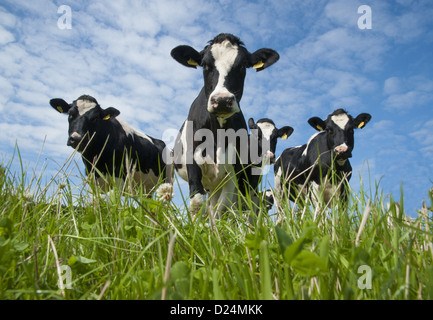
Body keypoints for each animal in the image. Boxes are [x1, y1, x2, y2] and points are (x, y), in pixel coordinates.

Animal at [170, 33, 278, 218]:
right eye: (205, 65)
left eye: (242, 66)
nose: (221, 100)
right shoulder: (193, 163)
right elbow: (197, 204)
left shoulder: (234, 172)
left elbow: (223, 208)